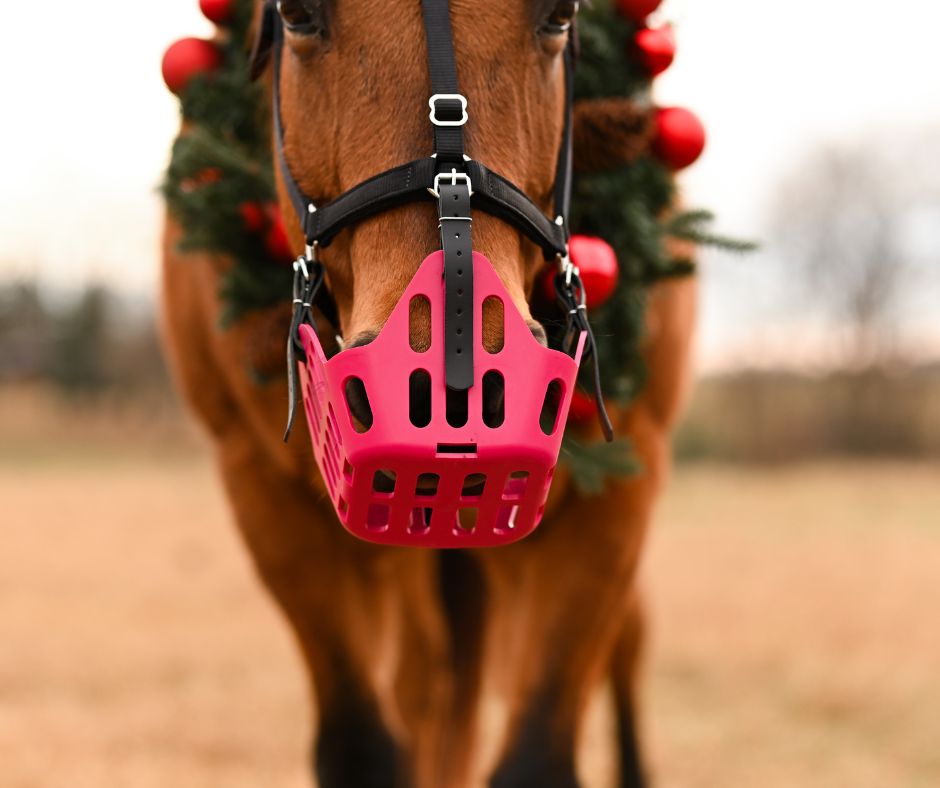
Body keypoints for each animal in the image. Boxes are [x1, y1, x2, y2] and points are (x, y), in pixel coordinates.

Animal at [161, 1, 695, 786]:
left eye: (560, 14)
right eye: (297, 14)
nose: (450, 391)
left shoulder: (621, 488)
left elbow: (537, 754)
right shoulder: (267, 492)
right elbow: (366, 744)